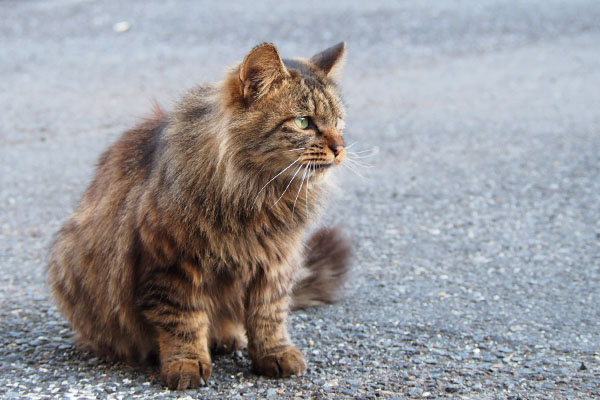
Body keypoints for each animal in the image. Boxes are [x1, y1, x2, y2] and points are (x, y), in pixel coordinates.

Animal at [48, 42, 352, 390]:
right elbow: (182, 322)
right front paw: (186, 363)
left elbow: (269, 316)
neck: (258, 194)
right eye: (303, 122)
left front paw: (274, 354)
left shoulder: (276, 263)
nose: (340, 148)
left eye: (338, 122)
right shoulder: (172, 265)